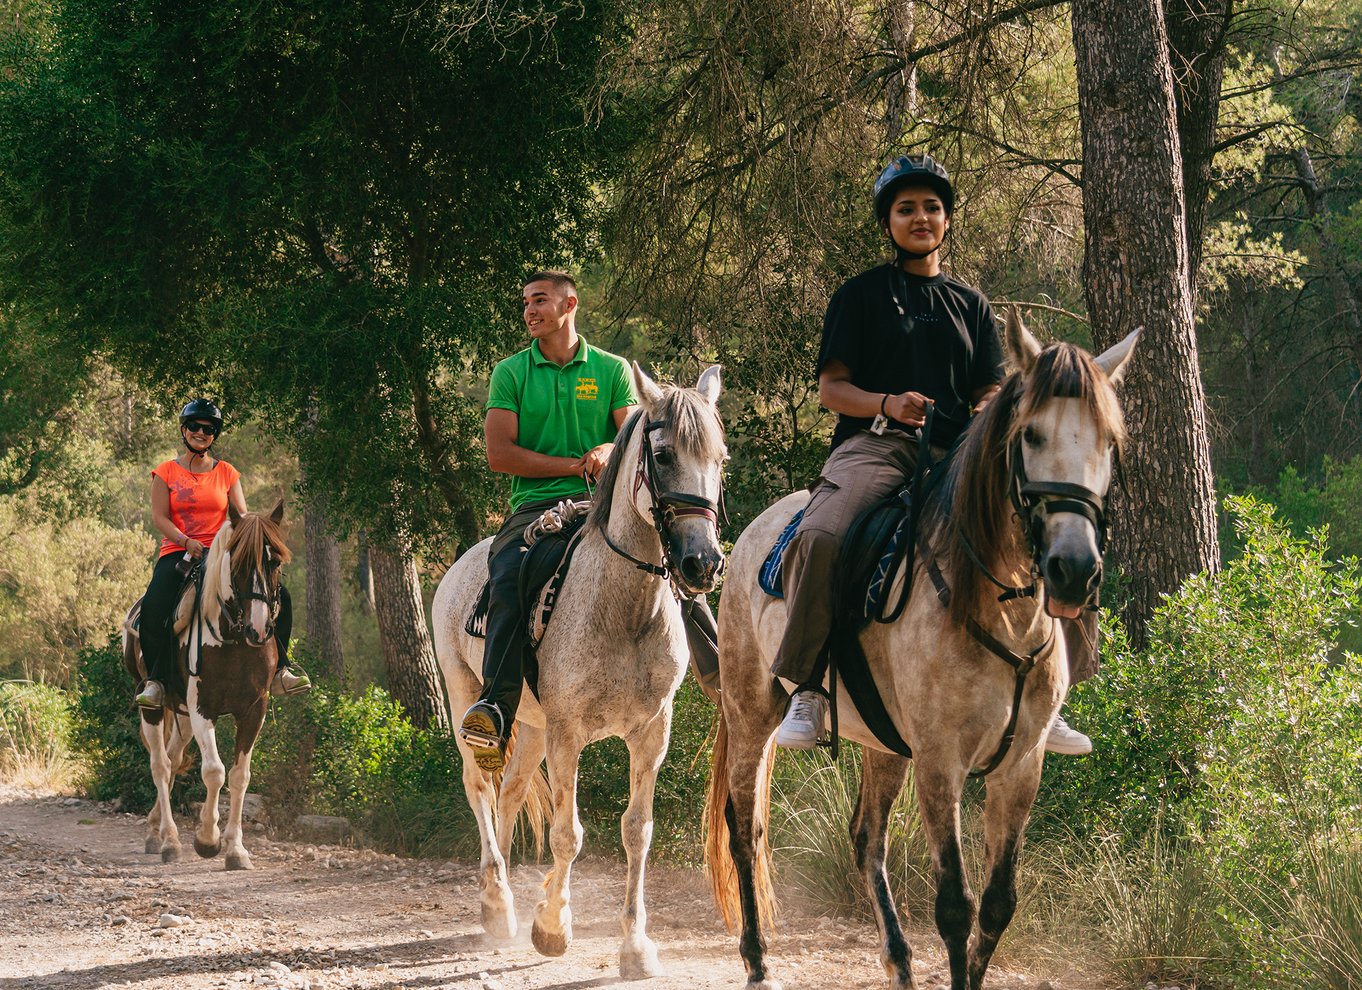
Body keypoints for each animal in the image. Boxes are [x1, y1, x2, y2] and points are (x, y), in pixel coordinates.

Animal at [124, 498, 292, 871]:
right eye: (239, 562)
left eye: (274, 562)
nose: (259, 630)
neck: (233, 638)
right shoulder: (204, 709)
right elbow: (214, 771)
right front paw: (207, 840)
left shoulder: (254, 710)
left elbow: (240, 776)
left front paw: (236, 850)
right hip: (152, 706)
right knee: (160, 765)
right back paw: (169, 842)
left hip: (182, 715)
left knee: (172, 761)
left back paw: (155, 832)